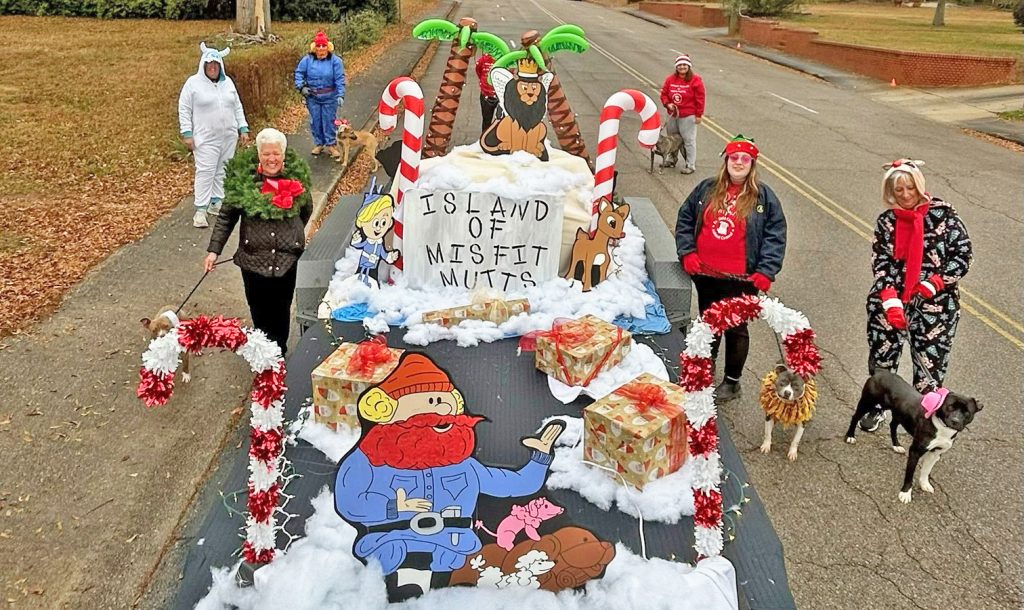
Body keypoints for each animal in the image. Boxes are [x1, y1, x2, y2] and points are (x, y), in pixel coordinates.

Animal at [845, 370, 983, 504]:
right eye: (950, 407)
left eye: (967, 412)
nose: (955, 421)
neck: (942, 427)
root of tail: (879, 372)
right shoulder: (915, 452)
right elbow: (909, 474)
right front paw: (905, 493)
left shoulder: (935, 452)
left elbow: (926, 470)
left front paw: (924, 484)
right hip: (867, 402)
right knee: (855, 417)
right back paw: (850, 436)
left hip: (898, 413)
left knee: (893, 425)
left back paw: (896, 445)